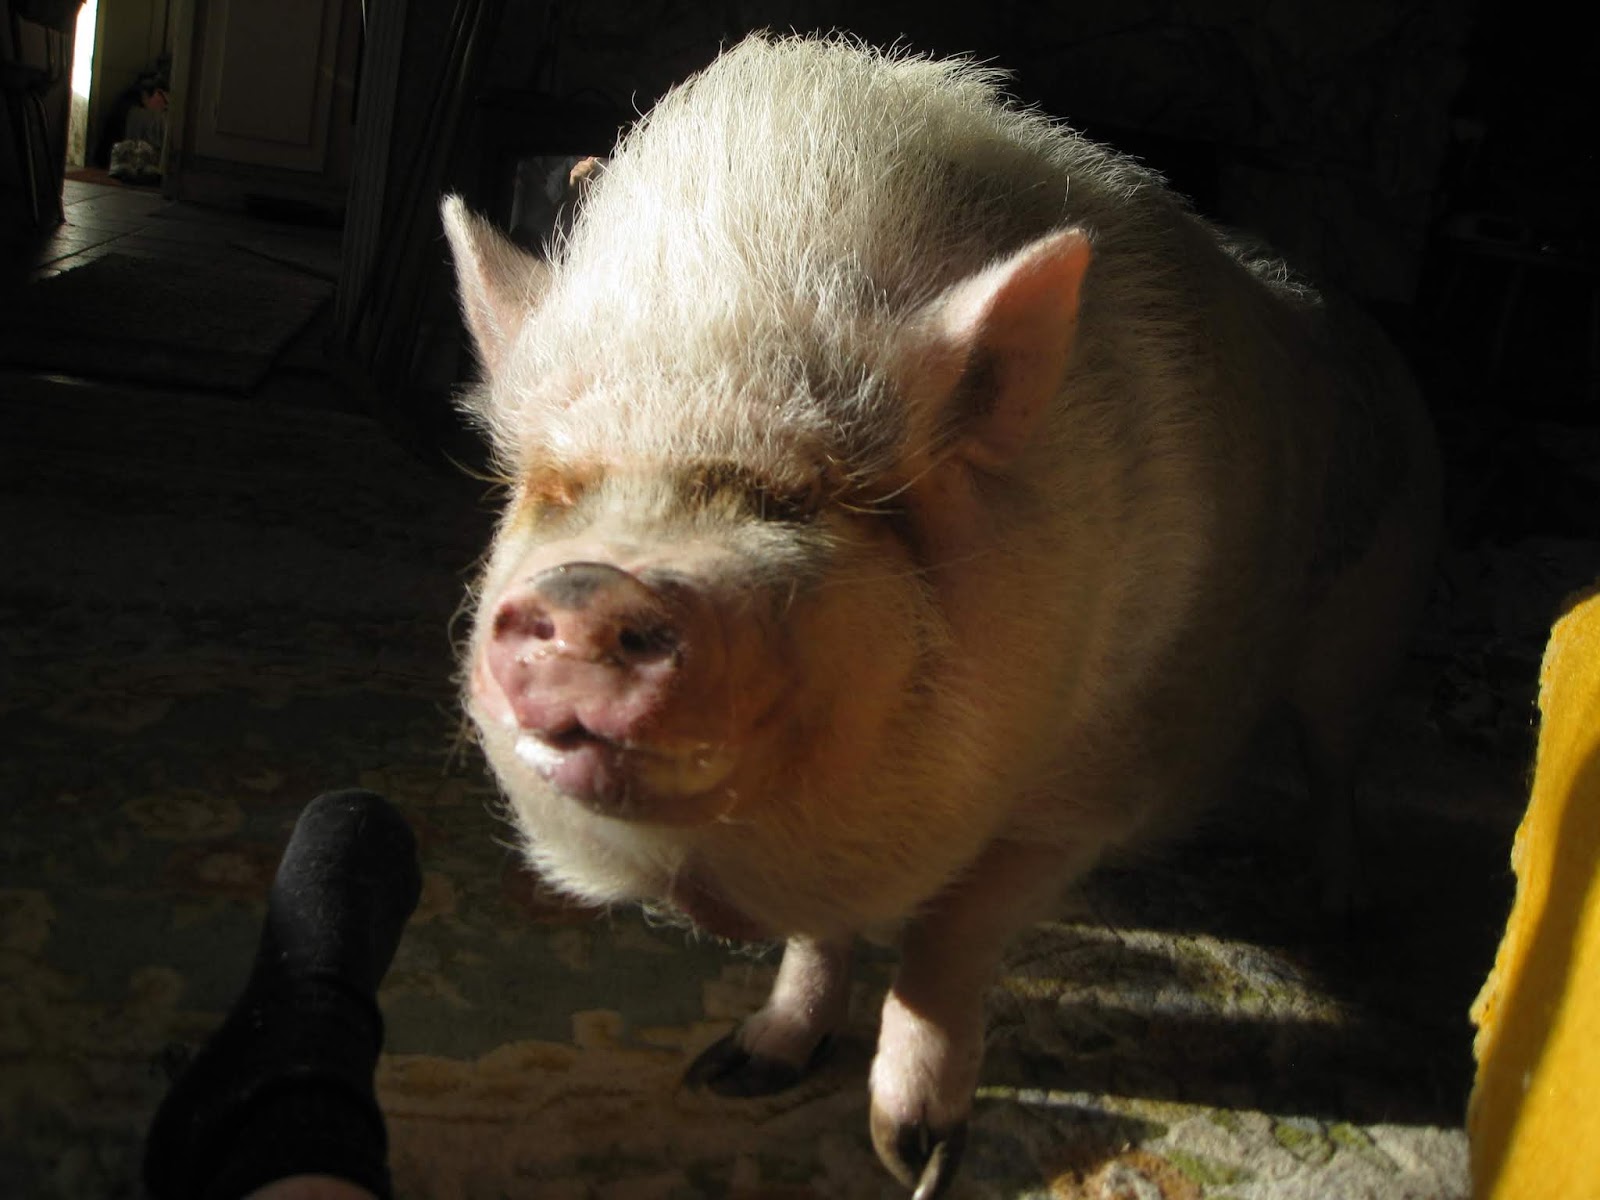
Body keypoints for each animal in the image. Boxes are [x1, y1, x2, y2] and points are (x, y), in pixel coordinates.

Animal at [442, 33, 1439, 1198]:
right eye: (557, 489)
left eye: (808, 498)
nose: (595, 589)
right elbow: (822, 940)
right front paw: (733, 1073)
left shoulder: (1080, 802)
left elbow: (949, 942)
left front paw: (914, 1160)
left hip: (1369, 627)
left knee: (1336, 766)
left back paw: (1339, 908)